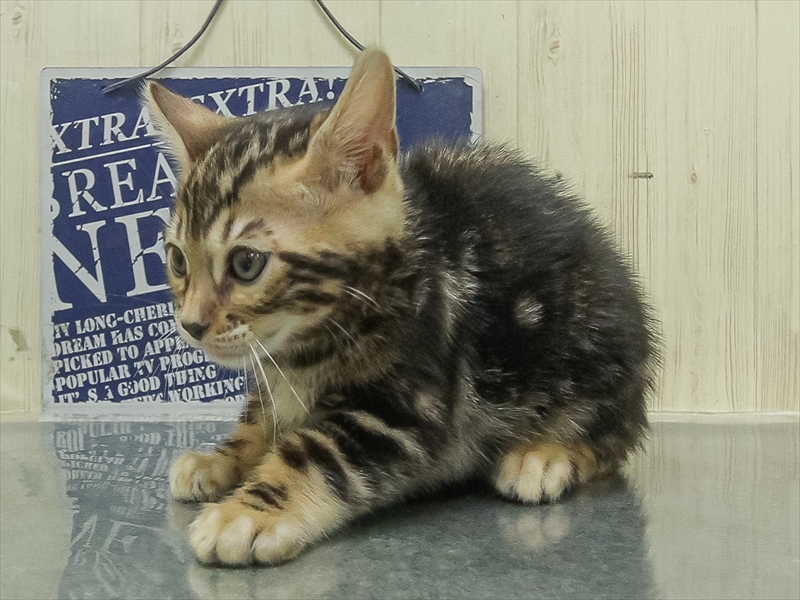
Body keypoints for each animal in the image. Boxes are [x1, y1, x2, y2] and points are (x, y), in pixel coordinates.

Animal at [145, 48, 658, 566]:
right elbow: (261, 416)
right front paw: (222, 458)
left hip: (593, 351)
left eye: (246, 263)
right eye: (177, 259)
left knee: (616, 434)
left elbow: (315, 454)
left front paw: (249, 512)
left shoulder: (405, 408)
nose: (190, 324)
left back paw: (546, 454)